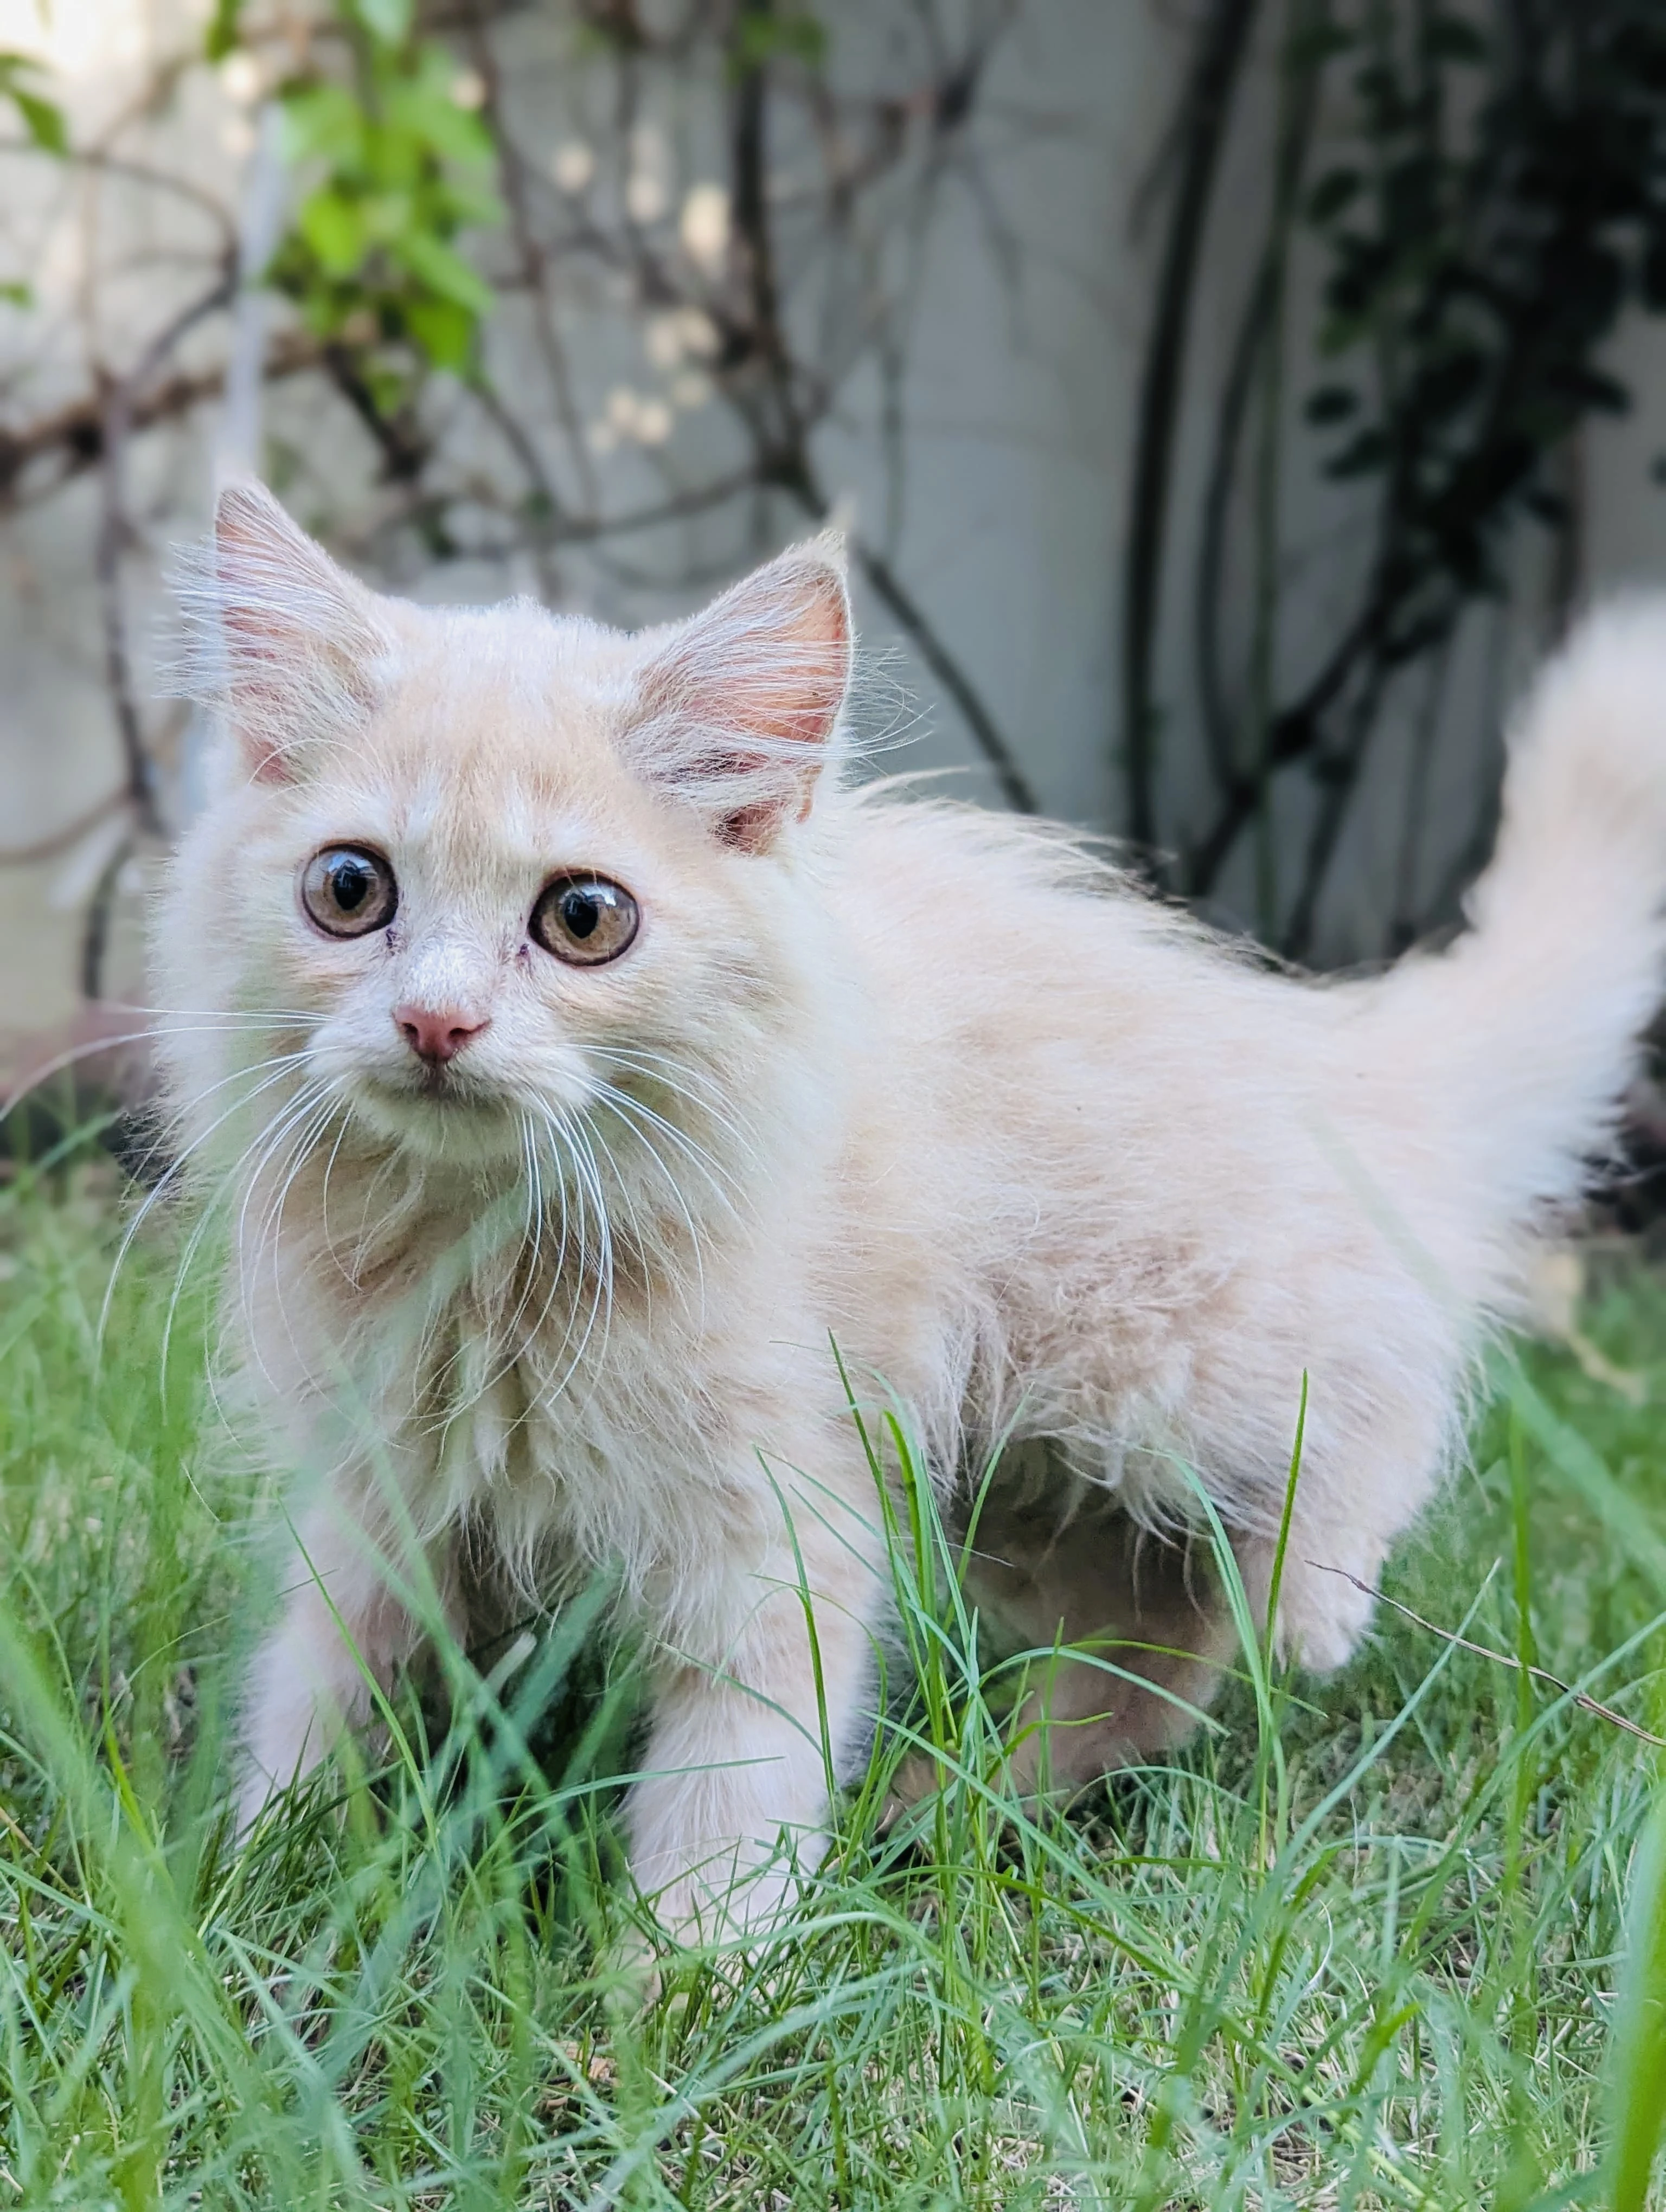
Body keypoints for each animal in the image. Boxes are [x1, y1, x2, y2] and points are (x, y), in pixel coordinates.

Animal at [156, 484, 1663, 1938]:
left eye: (583, 918)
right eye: (350, 890)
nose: (436, 1022)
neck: (486, 1256)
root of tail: (1330, 1047)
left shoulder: (774, 1529)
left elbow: (729, 1804)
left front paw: (679, 1989)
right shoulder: (376, 1495)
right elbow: (321, 1694)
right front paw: (248, 1900)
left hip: (1159, 1365)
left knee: (1375, 1398)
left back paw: (1309, 1602)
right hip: (1034, 1481)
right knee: (1157, 1647)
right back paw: (953, 1809)